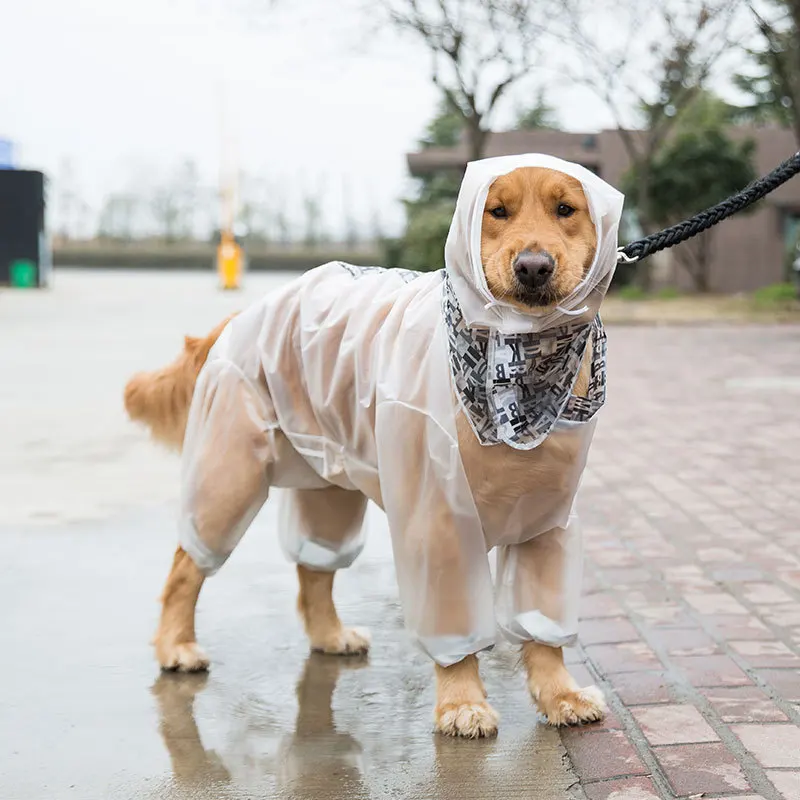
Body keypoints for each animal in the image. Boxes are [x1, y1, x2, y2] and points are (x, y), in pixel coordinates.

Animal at [128, 162, 608, 736]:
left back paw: (329, 635)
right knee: (187, 565)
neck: (524, 361)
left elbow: (541, 623)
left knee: (313, 568)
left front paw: (561, 694)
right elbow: (454, 625)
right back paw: (175, 645)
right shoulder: (436, 519)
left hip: (328, 482)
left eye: (566, 210)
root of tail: (250, 309)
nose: (533, 267)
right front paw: (461, 702)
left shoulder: (549, 515)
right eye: (497, 212)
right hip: (230, 472)